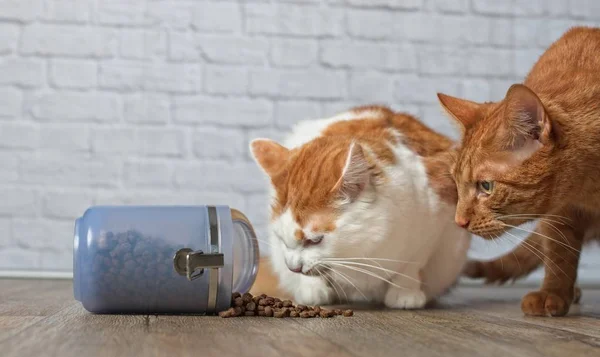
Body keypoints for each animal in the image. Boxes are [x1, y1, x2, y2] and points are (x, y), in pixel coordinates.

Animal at [251, 105, 472, 306]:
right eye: (280, 237)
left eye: (315, 240)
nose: (293, 267)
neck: (358, 252)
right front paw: (312, 290)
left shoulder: (435, 222)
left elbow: (410, 265)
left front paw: (404, 294)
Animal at [436, 27, 600, 318]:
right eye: (456, 183)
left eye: (486, 186)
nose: (459, 222)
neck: (588, 188)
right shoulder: (559, 212)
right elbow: (559, 252)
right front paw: (553, 292)